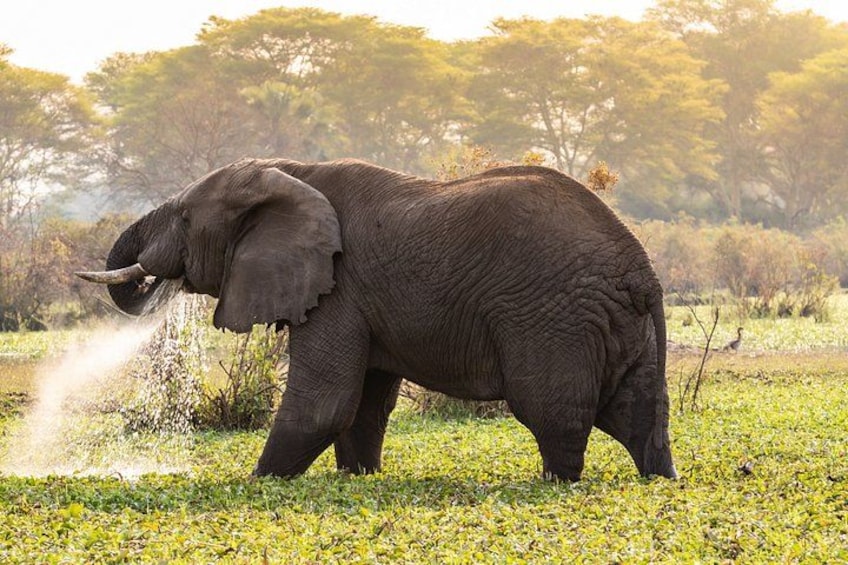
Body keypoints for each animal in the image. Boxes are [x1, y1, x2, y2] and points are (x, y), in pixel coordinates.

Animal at [77, 158, 677, 482]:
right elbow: (363, 404)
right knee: (636, 411)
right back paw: (660, 477)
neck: (291, 172)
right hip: (614, 324)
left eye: (184, 217)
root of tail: (642, 271)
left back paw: (556, 483)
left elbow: (325, 402)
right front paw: (359, 477)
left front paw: (253, 483)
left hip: (554, 318)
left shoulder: (339, 287)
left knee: (554, 411)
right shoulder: (361, 297)